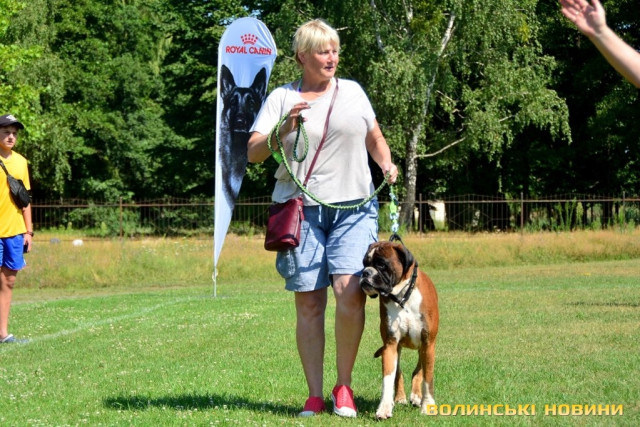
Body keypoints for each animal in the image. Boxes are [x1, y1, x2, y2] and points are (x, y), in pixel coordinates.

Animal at [360, 238, 439, 420]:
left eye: (381, 264)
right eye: (364, 264)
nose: (365, 273)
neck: (402, 297)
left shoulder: (428, 343)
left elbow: (427, 378)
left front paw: (427, 405)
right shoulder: (390, 344)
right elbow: (388, 378)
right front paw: (384, 408)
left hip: (423, 348)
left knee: (419, 370)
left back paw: (416, 396)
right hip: (397, 348)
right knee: (399, 374)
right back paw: (400, 398)